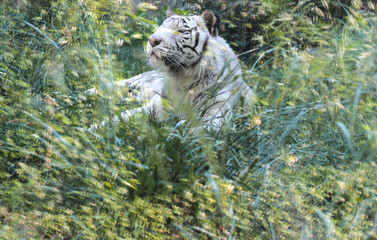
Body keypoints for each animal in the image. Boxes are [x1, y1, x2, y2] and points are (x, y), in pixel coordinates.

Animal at [88, 9, 253, 130]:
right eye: (160, 28)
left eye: (180, 31)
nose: (152, 40)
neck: (182, 77)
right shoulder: (155, 104)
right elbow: (121, 117)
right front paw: (92, 129)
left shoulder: (217, 113)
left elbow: (199, 132)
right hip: (134, 81)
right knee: (111, 86)